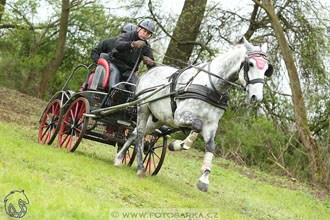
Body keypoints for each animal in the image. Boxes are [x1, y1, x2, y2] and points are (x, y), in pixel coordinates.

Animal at [113, 38, 274, 192]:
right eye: (251, 64)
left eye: (267, 68)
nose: (256, 97)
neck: (212, 86)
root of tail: (150, 71)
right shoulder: (180, 116)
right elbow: (197, 125)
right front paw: (179, 144)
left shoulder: (211, 124)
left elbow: (210, 146)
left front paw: (204, 179)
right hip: (143, 107)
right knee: (140, 133)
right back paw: (140, 168)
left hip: (157, 119)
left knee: (135, 133)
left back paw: (119, 158)